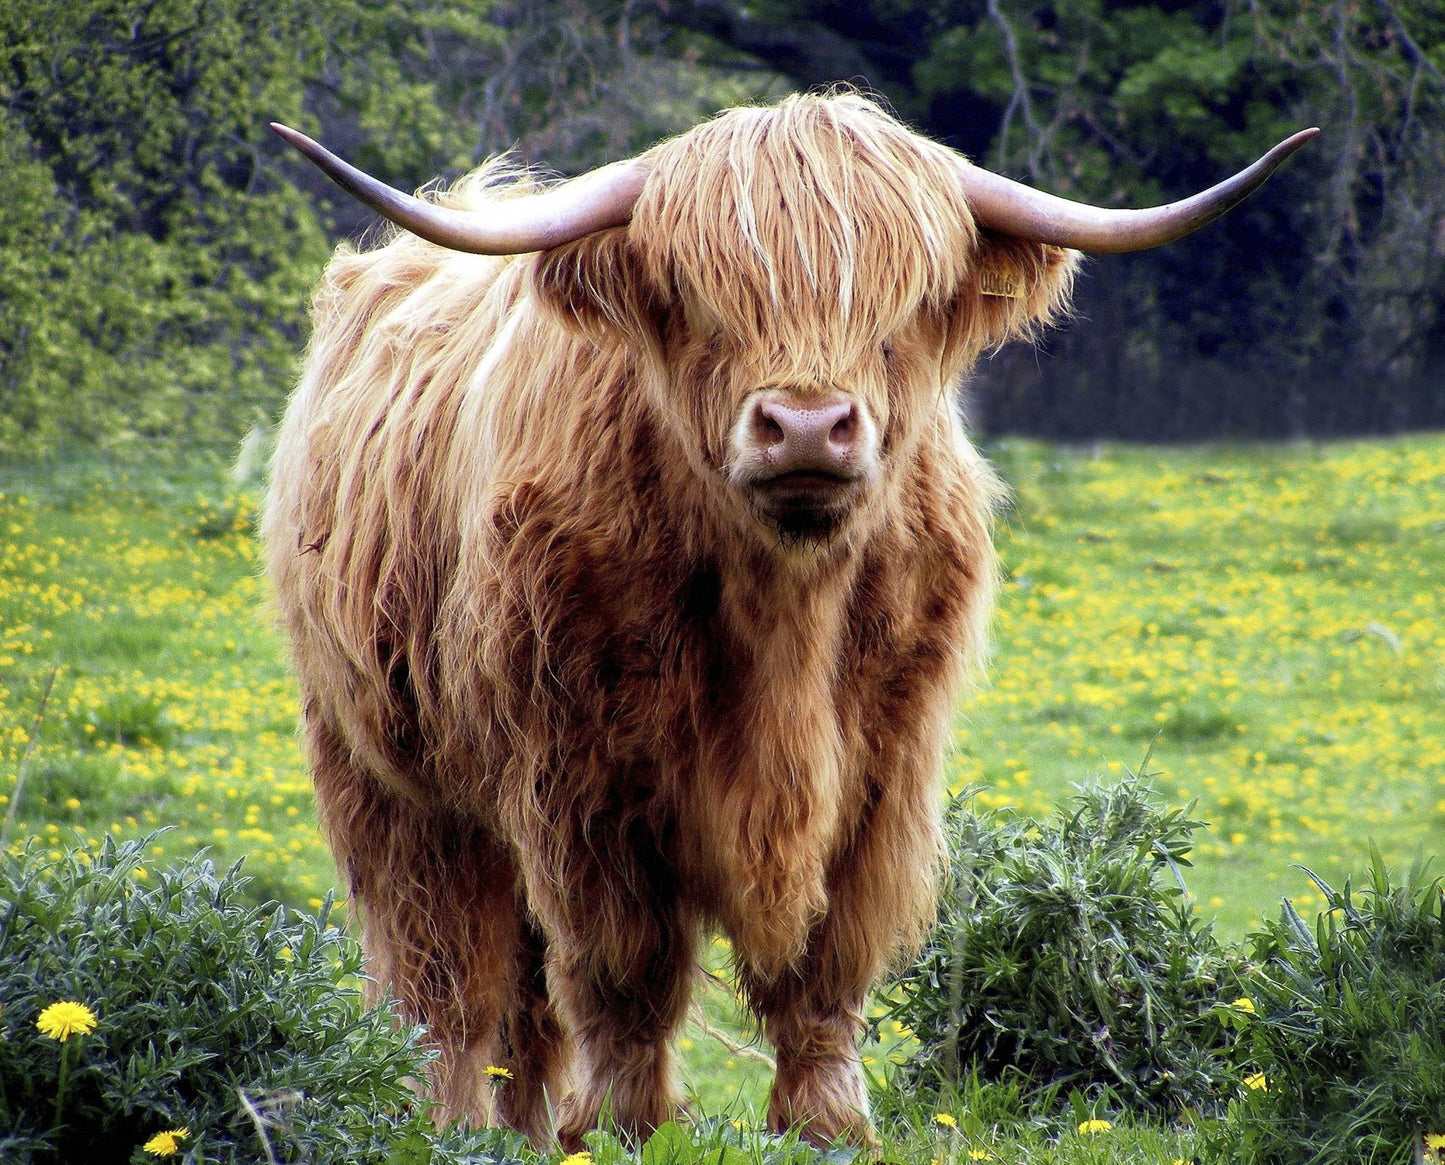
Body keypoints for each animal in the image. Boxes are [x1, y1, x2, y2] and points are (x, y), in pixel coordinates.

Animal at [263, 92, 1313, 1147]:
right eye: (700, 298)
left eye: (901, 307)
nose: (807, 426)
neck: (784, 621)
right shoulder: (581, 781)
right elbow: (623, 966)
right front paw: (624, 1127)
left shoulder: (881, 774)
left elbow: (826, 963)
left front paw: (828, 1124)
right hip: (386, 775)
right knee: (443, 972)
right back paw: (448, 1123)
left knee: (518, 996)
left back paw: (520, 1127)